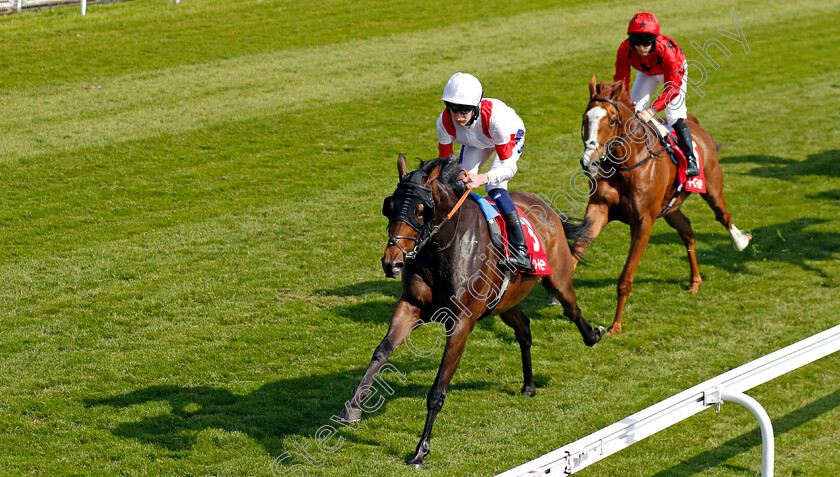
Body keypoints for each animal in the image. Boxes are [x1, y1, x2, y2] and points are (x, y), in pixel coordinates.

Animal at [340, 154, 604, 466]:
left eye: (421, 211)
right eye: (389, 206)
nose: (391, 262)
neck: (444, 247)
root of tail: (543, 203)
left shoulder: (461, 322)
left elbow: (437, 389)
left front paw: (421, 449)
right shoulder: (411, 305)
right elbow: (381, 351)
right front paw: (353, 406)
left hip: (558, 279)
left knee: (571, 309)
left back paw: (594, 335)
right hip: (504, 303)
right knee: (524, 329)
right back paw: (528, 385)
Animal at [576, 75, 752, 334]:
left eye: (612, 120)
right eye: (585, 118)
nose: (588, 160)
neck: (627, 164)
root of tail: (696, 124)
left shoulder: (643, 222)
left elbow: (625, 279)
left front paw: (616, 325)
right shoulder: (600, 209)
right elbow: (577, 247)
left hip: (712, 190)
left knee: (724, 216)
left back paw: (740, 241)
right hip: (670, 208)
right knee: (687, 230)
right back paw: (695, 281)